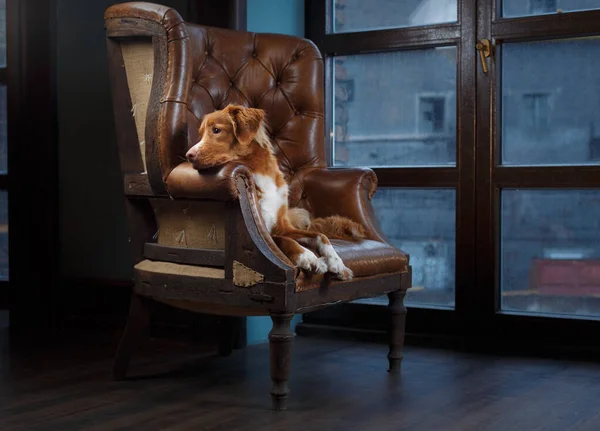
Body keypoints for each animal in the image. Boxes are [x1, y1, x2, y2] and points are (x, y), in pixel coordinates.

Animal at [186, 104, 366, 280]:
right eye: (200, 134)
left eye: (216, 130)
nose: (189, 155)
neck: (257, 171)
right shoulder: (266, 234)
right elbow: (285, 240)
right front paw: (310, 258)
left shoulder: (282, 227)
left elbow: (320, 235)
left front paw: (337, 263)